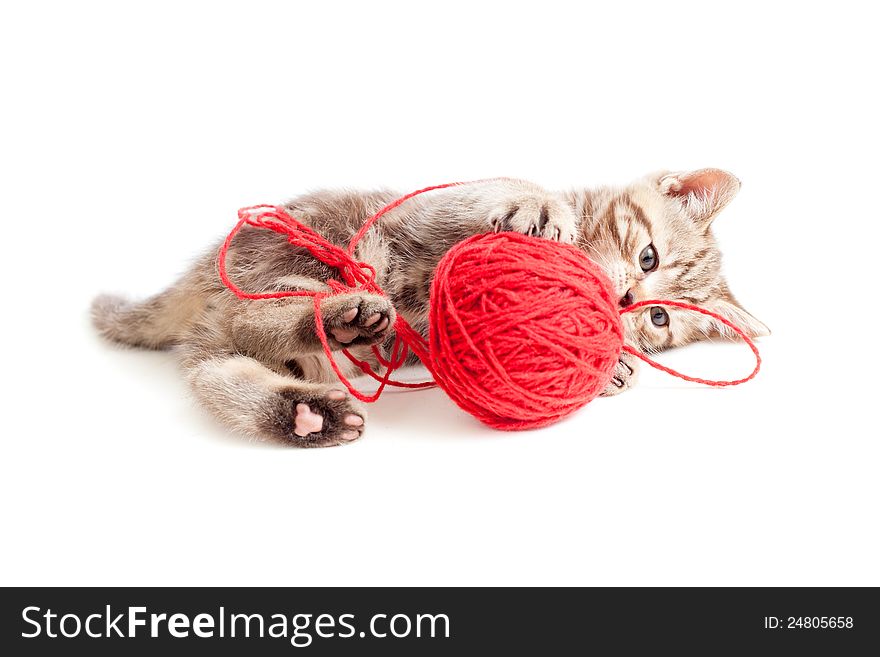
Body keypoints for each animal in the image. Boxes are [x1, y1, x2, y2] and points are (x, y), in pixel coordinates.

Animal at [93, 169, 768, 446]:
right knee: (251, 319)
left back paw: (307, 413)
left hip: (239, 331)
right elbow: (506, 189)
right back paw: (339, 317)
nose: (628, 299)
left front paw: (614, 367)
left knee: (221, 366)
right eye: (649, 257)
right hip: (293, 257)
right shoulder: (432, 206)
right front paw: (541, 205)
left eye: (659, 319)